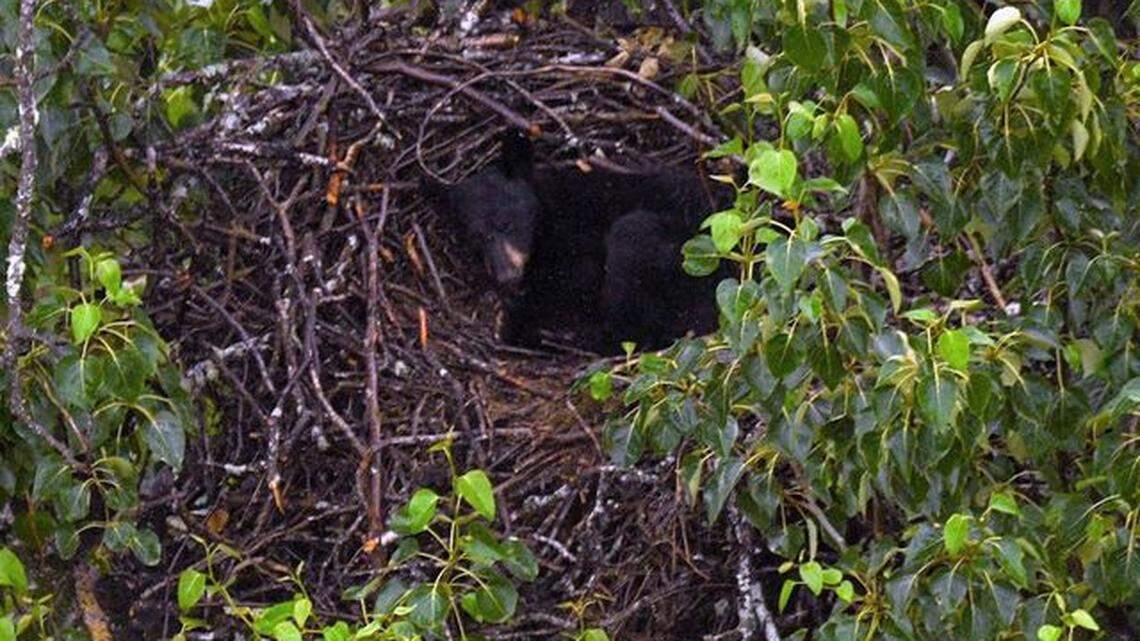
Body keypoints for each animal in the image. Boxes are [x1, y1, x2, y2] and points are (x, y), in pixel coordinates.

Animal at [422, 131, 726, 355]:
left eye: (507, 223)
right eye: (475, 236)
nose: (507, 276)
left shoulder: (579, 233)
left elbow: (575, 279)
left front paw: (517, 317)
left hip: (682, 258)